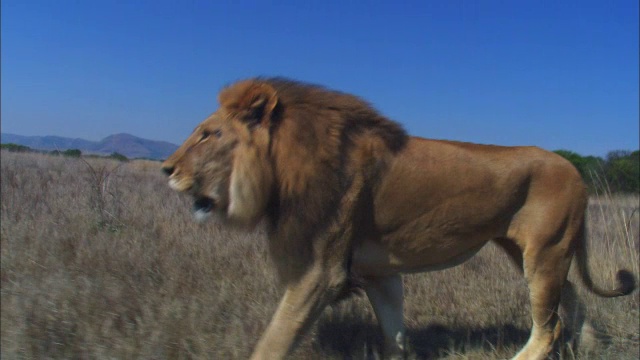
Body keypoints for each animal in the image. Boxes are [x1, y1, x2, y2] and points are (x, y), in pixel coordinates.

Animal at [161, 79, 636, 360]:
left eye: (207, 135)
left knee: (549, 324)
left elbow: (275, 339)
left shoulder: (321, 272)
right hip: (531, 251)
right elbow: (394, 333)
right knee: (572, 298)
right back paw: (590, 345)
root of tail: (574, 169)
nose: (166, 169)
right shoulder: (379, 273)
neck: (287, 166)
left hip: (544, 252)